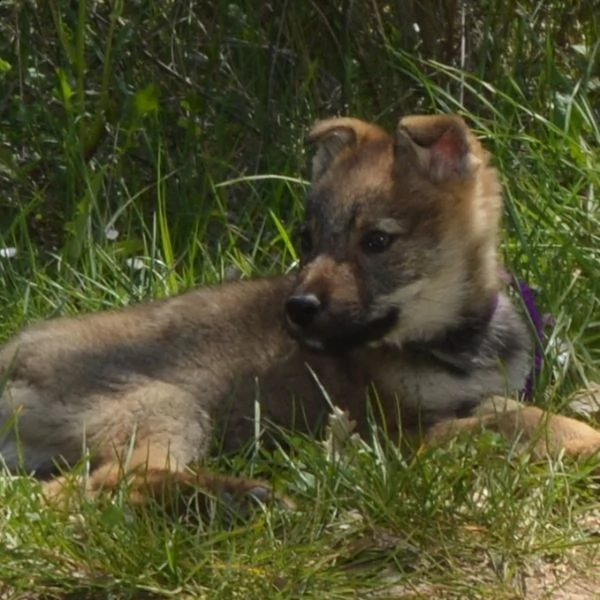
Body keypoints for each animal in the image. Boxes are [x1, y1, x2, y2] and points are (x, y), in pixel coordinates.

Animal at [1, 112, 600, 506]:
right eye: (309, 240)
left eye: (376, 241)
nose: (297, 308)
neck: (458, 344)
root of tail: (13, 353)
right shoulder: (399, 431)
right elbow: (509, 416)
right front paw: (580, 440)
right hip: (166, 405)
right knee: (102, 485)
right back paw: (243, 499)